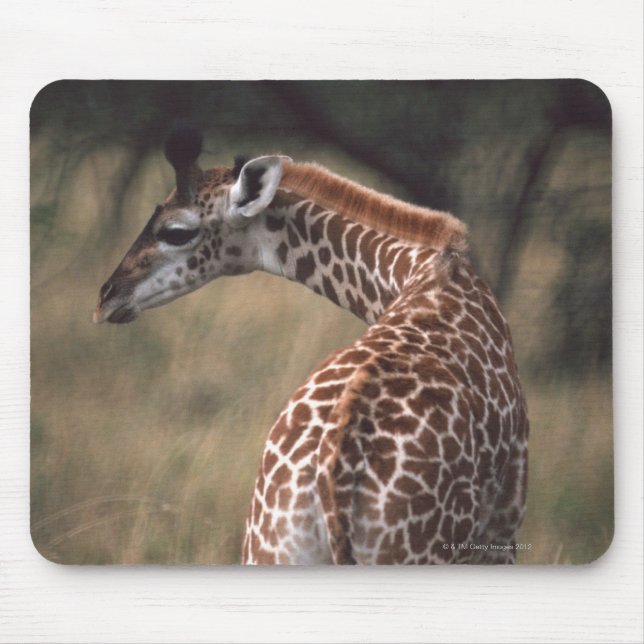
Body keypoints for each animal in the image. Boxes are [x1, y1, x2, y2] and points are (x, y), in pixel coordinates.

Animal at [94, 126, 529, 564]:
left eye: (176, 231)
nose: (105, 299)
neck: (420, 271)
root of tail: (332, 474)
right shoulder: (502, 527)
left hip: (269, 548)